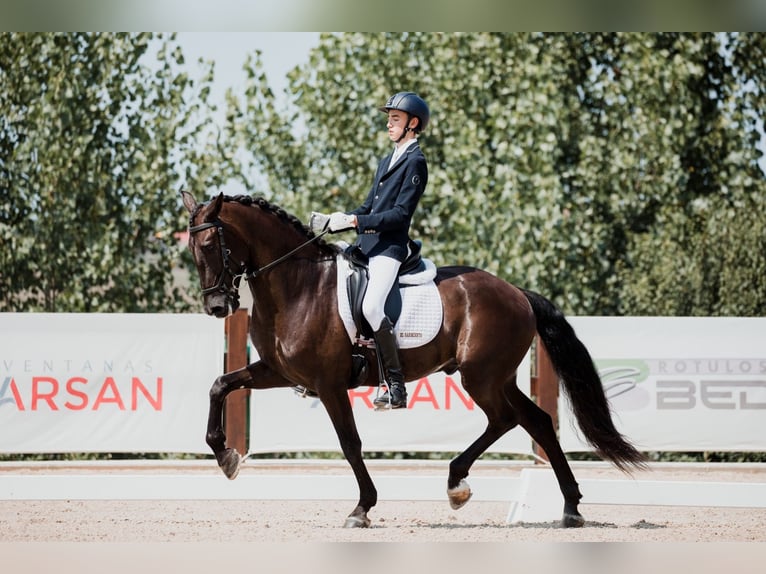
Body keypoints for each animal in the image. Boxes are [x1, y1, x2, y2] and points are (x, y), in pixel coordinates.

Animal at [180, 191, 648, 528]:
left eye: (211, 243)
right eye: (192, 249)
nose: (217, 307)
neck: (298, 286)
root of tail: (517, 292)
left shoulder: (329, 384)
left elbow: (350, 444)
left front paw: (362, 508)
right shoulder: (278, 371)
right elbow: (220, 385)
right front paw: (225, 456)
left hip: (481, 377)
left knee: (506, 419)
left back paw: (458, 483)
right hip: (497, 377)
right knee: (536, 420)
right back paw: (570, 506)